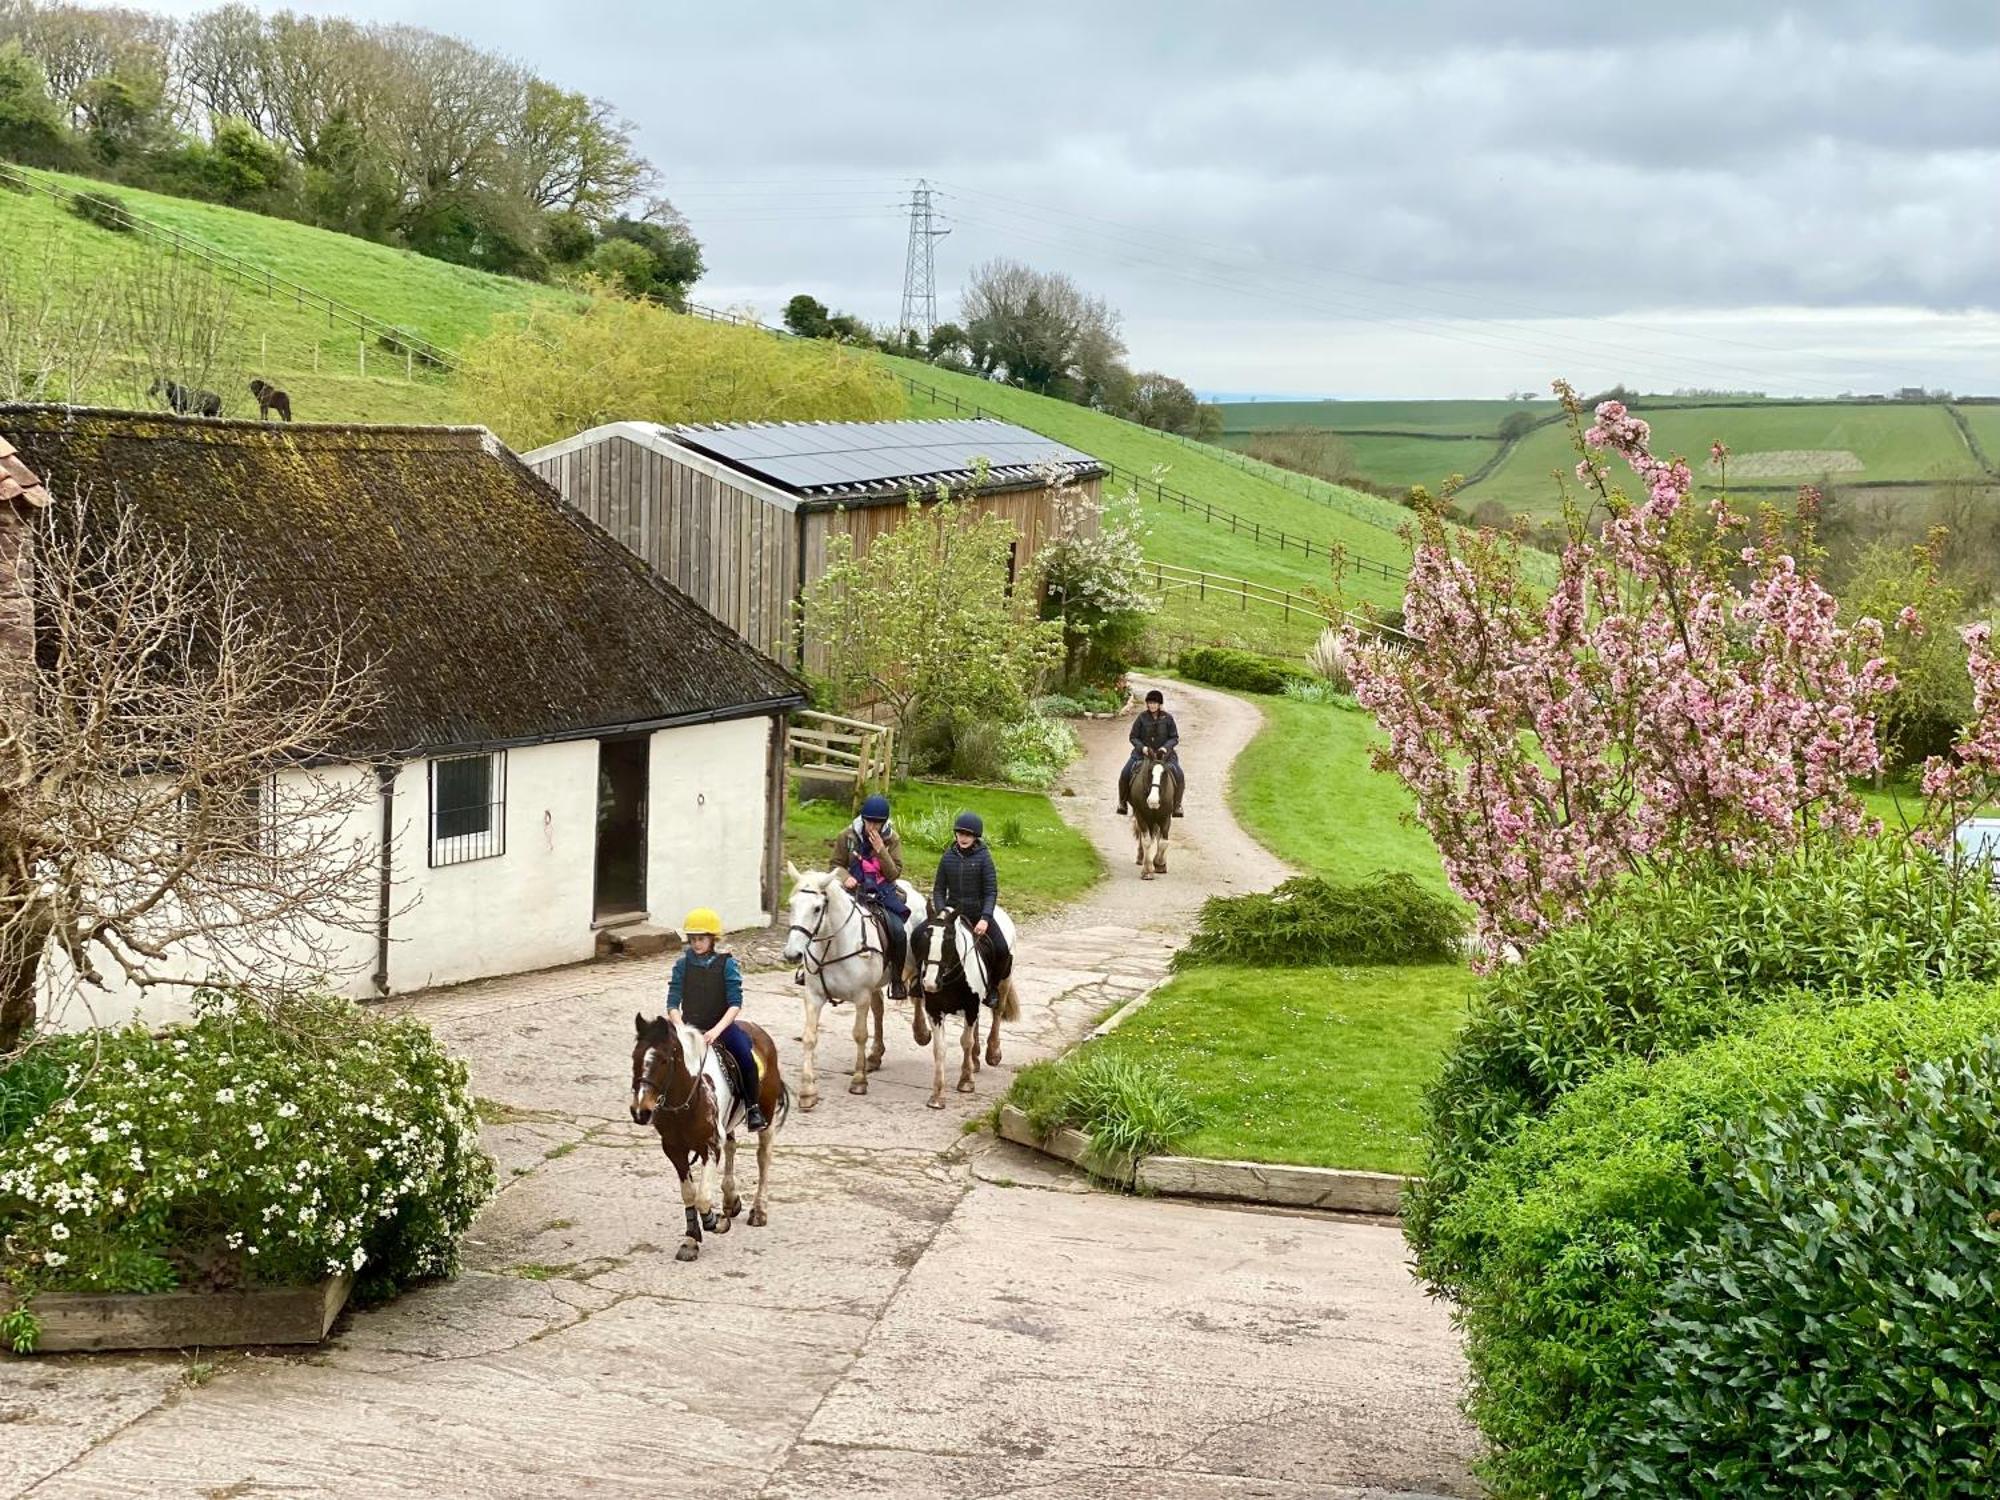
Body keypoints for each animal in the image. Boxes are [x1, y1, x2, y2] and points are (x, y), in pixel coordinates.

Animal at [628, 1012, 784, 1272]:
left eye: (664, 1060)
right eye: (635, 1057)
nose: (640, 1111)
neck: (688, 1098)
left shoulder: (709, 1147)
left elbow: (702, 1197)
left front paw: (716, 1223)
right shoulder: (674, 1150)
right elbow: (689, 1195)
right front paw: (690, 1242)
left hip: (767, 1117)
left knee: (764, 1157)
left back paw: (759, 1211)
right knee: (731, 1146)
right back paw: (731, 1200)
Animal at [784, 868, 932, 1120]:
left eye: (817, 908)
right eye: (792, 904)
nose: (792, 954)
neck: (834, 946)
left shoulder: (861, 996)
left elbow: (860, 1034)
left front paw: (859, 1080)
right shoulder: (813, 996)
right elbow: (810, 1038)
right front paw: (807, 1092)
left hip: (914, 968)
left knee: (917, 997)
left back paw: (921, 1033)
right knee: (879, 1011)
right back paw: (874, 1056)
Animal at [916, 912, 1024, 1112]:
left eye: (949, 941)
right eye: (925, 940)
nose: (930, 983)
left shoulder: (970, 1007)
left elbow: (966, 1041)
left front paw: (966, 1081)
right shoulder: (935, 1011)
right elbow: (939, 1049)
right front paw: (937, 1096)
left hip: (1004, 981)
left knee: (997, 1014)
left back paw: (993, 1053)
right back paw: (975, 1059)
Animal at [1128, 752, 1168, 880]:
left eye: (1165, 773)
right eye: (1150, 771)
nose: (1153, 801)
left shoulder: (1165, 816)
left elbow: (1163, 842)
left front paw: (1160, 864)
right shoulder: (1141, 814)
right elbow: (1147, 841)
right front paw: (1147, 871)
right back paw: (1140, 857)